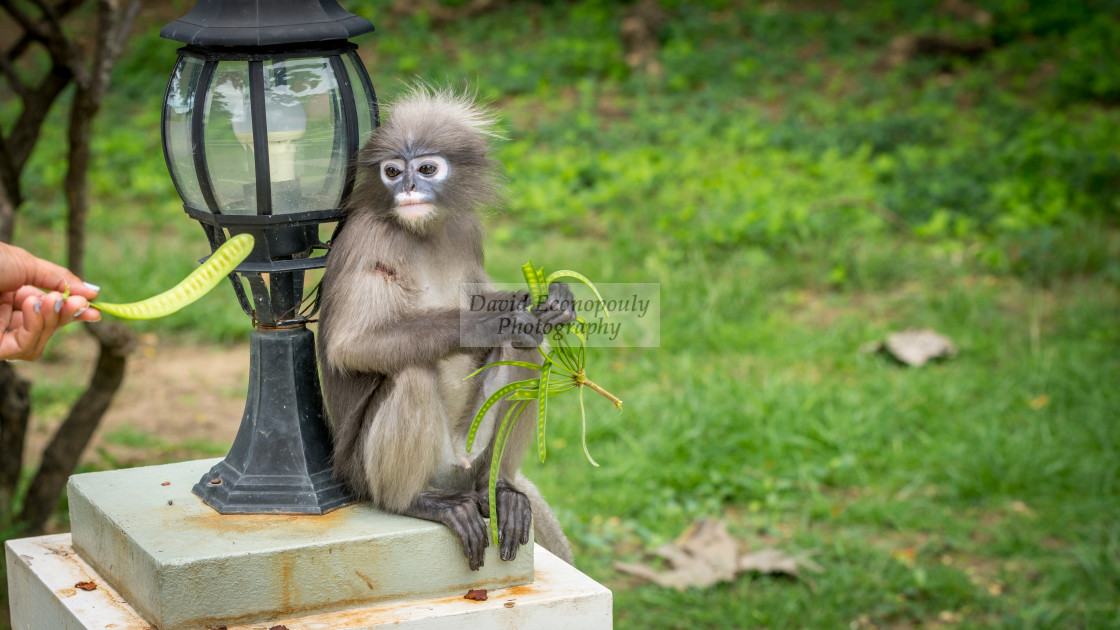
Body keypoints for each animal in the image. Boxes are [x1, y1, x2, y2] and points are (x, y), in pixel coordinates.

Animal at [318, 83, 573, 569]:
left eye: (426, 168)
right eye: (392, 171)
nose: (409, 187)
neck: (422, 234)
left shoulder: (465, 230)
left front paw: (553, 302)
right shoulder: (367, 235)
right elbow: (350, 345)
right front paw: (490, 322)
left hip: (471, 452)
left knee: (529, 351)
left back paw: (500, 491)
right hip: (370, 473)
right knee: (410, 371)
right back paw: (417, 501)